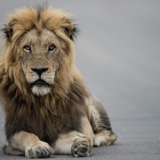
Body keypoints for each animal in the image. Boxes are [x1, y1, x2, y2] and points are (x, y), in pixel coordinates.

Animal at [0, 5, 117, 158]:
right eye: (27, 47)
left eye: (51, 47)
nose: (39, 70)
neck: (42, 100)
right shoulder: (13, 131)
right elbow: (26, 136)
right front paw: (38, 146)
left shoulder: (71, 124)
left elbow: (75, 136)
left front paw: (80, 144)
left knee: (110, 134)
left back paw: (95, 138)